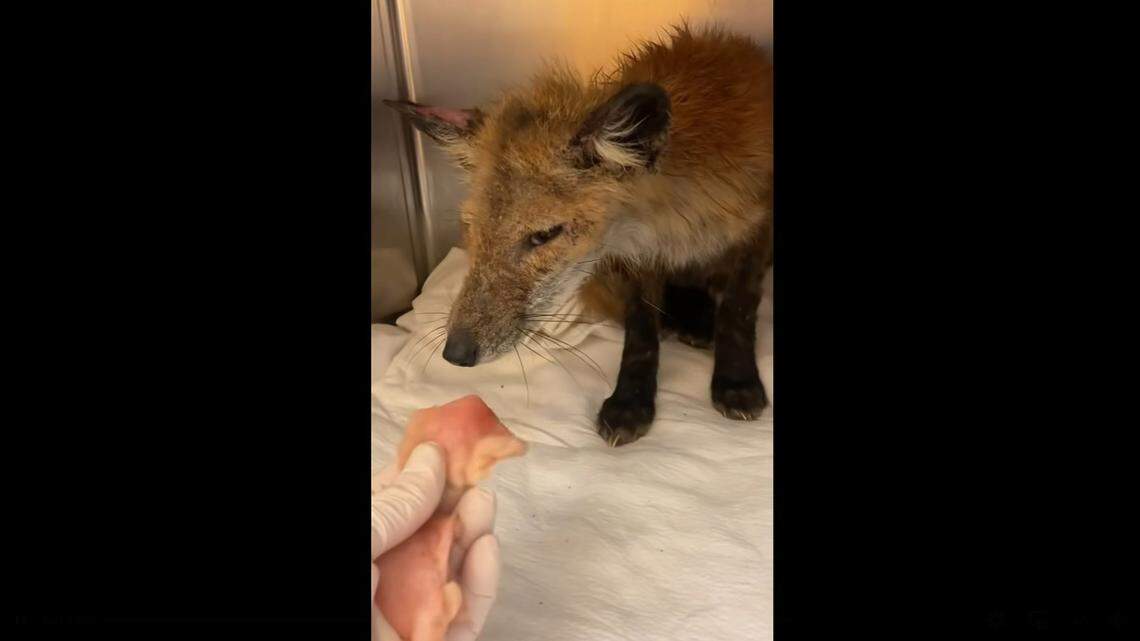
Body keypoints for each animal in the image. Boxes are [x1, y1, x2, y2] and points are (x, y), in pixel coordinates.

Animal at [385, 24, 772, 446]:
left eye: (543, 235)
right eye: (473, 228)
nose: (455, 353)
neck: (673, 222)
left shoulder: (756, 231)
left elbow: (737, 311)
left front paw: (736, 380)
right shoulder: (630, 258)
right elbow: (641, 332)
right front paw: (631, 400)